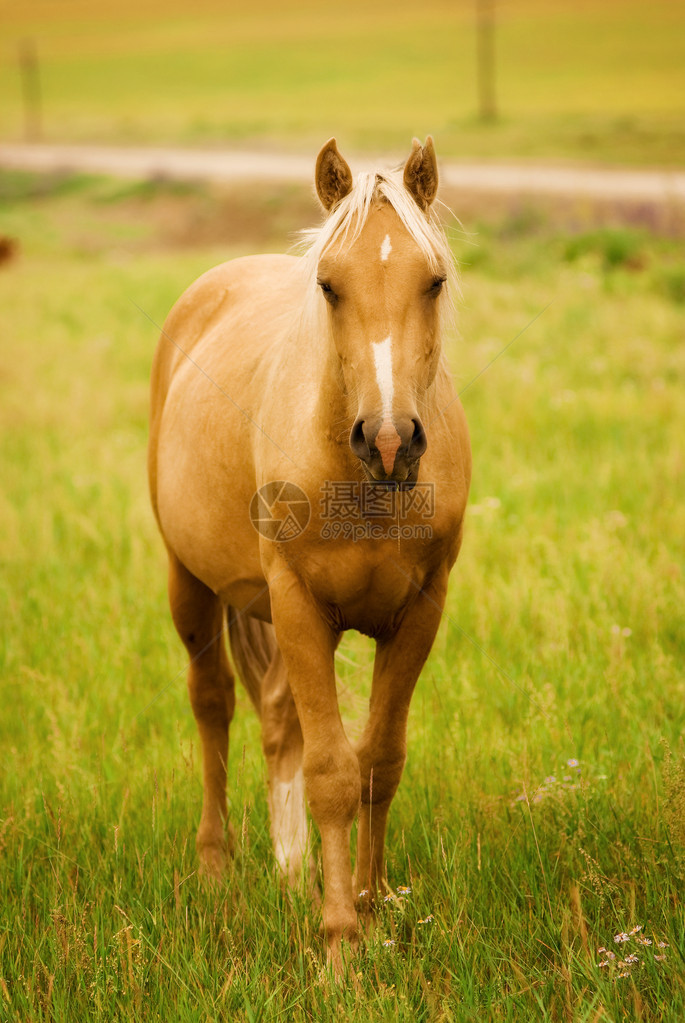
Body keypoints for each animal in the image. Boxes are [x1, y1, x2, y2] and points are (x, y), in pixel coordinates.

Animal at [149, 136, 472, 965]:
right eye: (329, 285)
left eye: (433, 280)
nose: (389, 440)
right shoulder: (298, 605)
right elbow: (331, 770)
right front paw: (338, 944)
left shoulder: (419, 612)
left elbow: (378, 761)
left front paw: (370, 900)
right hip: (190, 582)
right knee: (213, 703)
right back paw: (217, 866)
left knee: (274, 719)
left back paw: (290, 870)